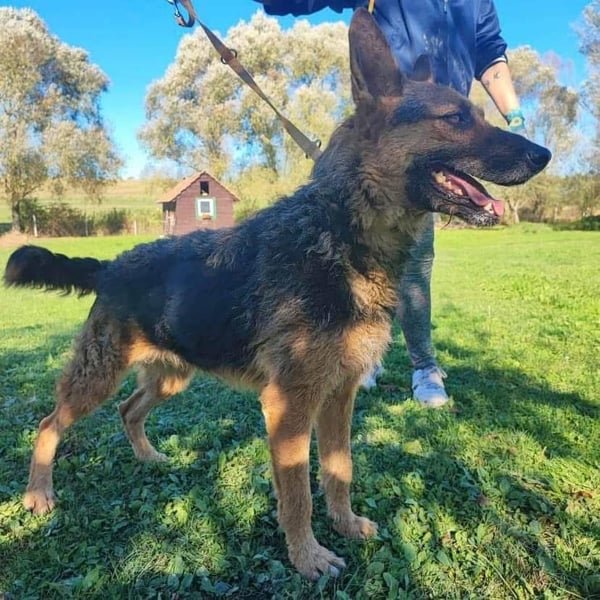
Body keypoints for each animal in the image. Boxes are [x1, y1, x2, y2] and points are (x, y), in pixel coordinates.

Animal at [4, 9, 550, 579]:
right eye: (456, 118)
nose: (544, 154)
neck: (340, 232)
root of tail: (111, 265)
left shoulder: (339, 397)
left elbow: (338, 470)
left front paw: (345, 525)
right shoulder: (290, 405)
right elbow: (297, 494)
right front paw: (308, 556)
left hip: (171, 375)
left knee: (129, 410)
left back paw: (150, 458)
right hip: (98, 377)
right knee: (48, 423)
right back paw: (38, 494)